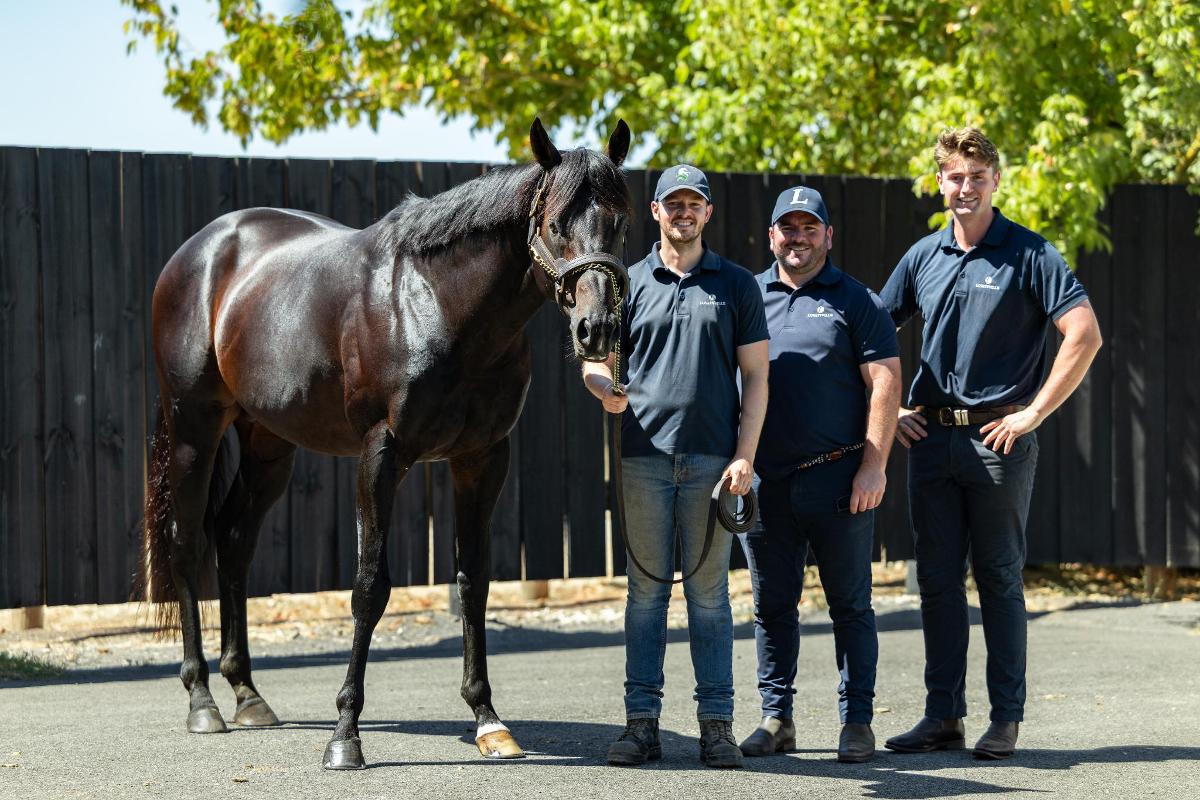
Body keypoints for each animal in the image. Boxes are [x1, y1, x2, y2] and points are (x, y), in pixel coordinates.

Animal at [137, 118, 632, 769]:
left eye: (620, 222)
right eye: (554, 223)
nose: (597, 330)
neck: (438, 304)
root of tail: (197, 252)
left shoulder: (482, 459)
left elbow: (473, 581)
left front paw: (488, 720)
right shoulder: (381, 455)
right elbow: (370, 588)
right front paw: (345, 734)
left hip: (268, 443)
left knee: (233, 542)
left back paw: (247, 694)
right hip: (194, 426)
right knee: (186, 542)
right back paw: (202, 700)